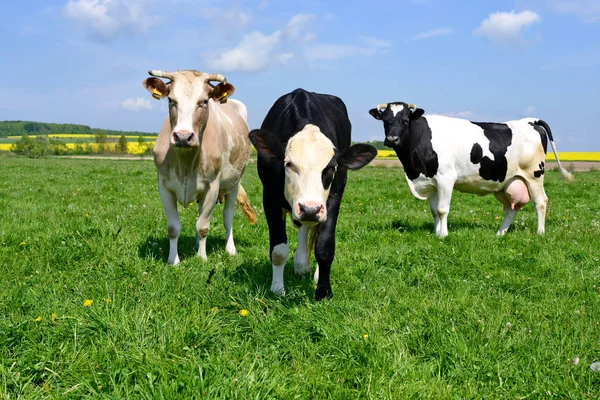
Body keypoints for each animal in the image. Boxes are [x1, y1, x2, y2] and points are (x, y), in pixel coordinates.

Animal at [145, 69, 258, 262]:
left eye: (204, 101)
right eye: (171, 100)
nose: (183, 136)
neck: (185, 162)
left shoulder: (212, 186)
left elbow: (203, 226)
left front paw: (202, 258)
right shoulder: (164, 186)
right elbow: (173, 227)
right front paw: (173, 260)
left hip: (234, 184)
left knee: (228, 217)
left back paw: (230, 249)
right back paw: (197, 244)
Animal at [251, 88, 378, 300]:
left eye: (332, 167)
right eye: (288, 164)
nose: (309, 209)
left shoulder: (332, 199)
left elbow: (325, 246)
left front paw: (323, 291)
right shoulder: (269, 197)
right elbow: (278, 250)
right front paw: (277, 289)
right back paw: (301, 264)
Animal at [368, 101, 576, 238]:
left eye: (405, 121)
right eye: (385, 121)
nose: (392, 139)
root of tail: (529, 121)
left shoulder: (446, 178)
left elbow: (442, 209)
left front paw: (443, 235)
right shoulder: (431, 182)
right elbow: (434, 211)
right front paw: (436, 233)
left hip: (534, 175)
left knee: (540, 202)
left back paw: (540, 233)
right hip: (507, 182)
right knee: (512, 208)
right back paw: (500, 233)